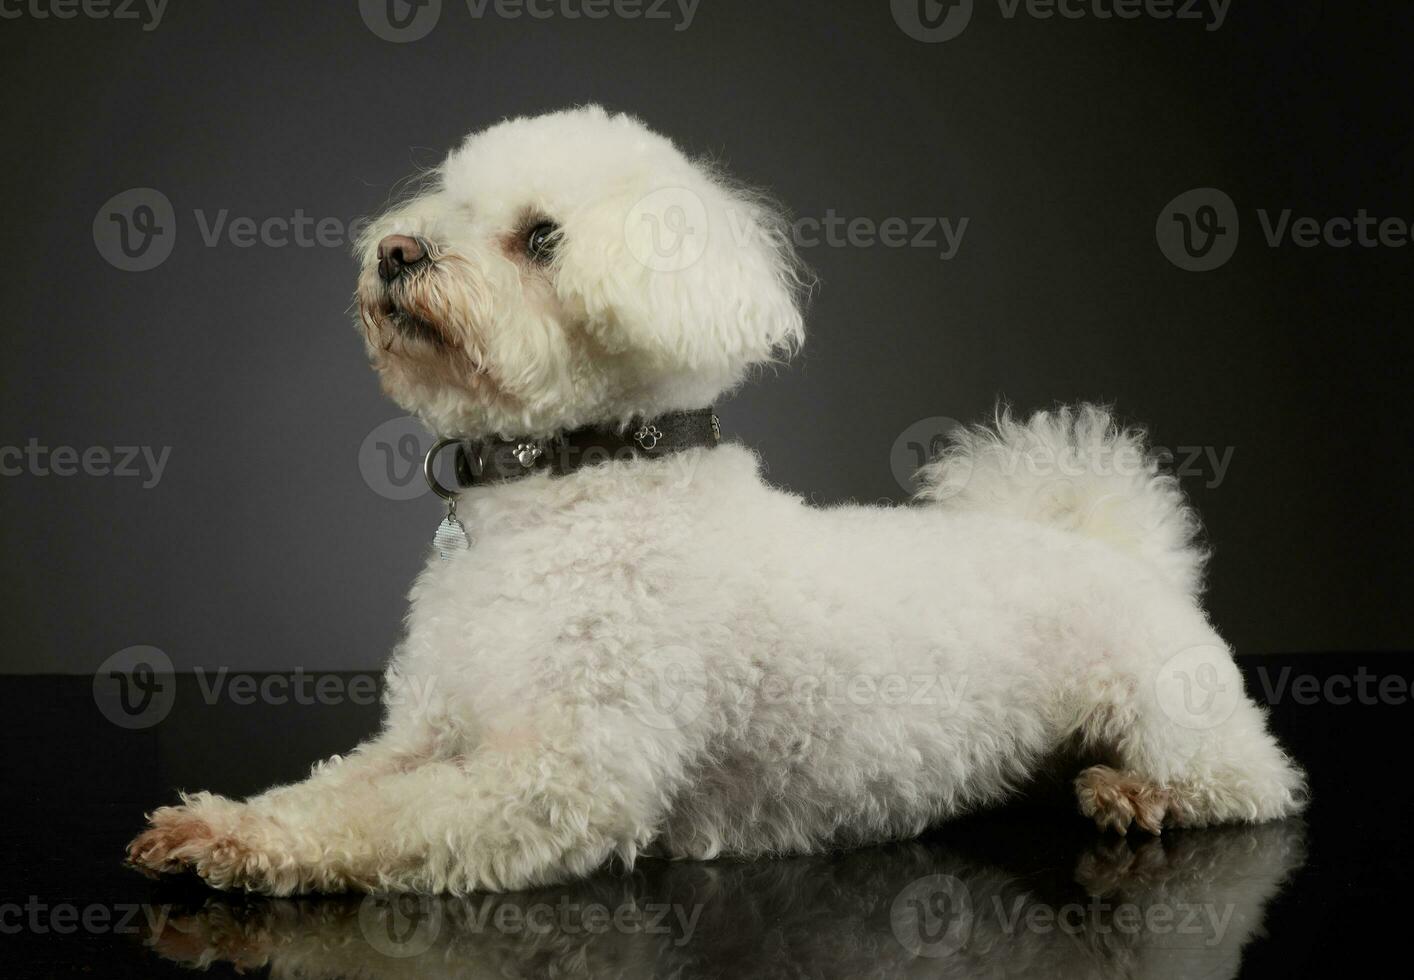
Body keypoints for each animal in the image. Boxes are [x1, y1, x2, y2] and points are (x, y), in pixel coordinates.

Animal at [127, 106, 1306, 893]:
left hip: (1172, 704)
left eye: (541, 236)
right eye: (450, 205)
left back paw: (1138, 793)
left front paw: (258, 846)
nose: (395, 251)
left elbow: (396, 816)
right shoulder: (434, 725)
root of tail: (1125, 547)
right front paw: (226, 821)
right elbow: (342, 782)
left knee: (1257, 780)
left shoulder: (565, 774)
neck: (581, 482)